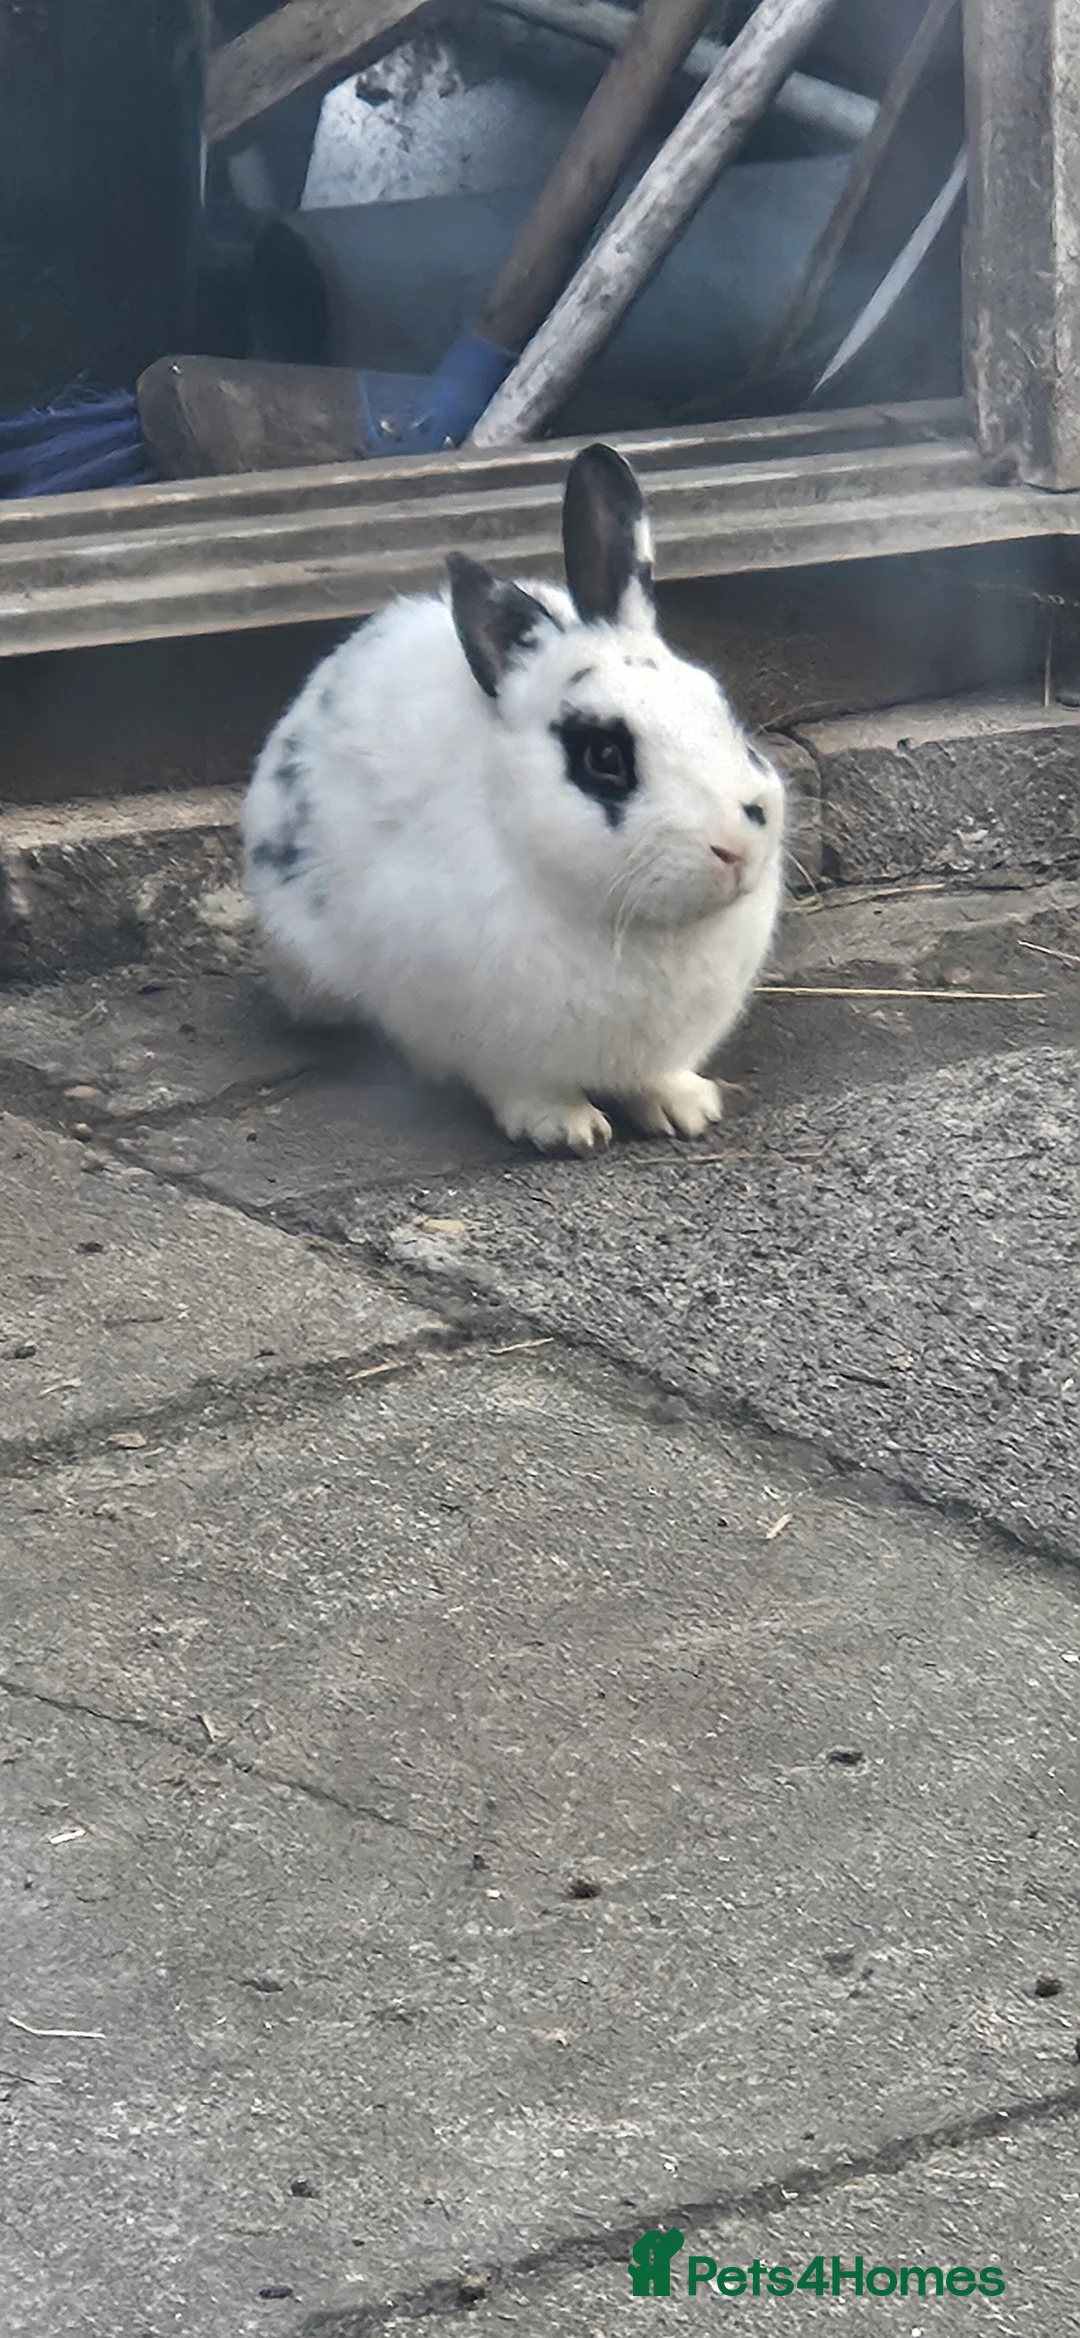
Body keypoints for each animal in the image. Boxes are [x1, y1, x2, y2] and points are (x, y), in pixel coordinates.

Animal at [242, 441, 785, 1156]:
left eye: (719, 707)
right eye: (604, 758)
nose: (738, 847)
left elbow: (655, 1077)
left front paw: (685, 1109)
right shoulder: (490, 1041)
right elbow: (522, 1086)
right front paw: (567, 1130)